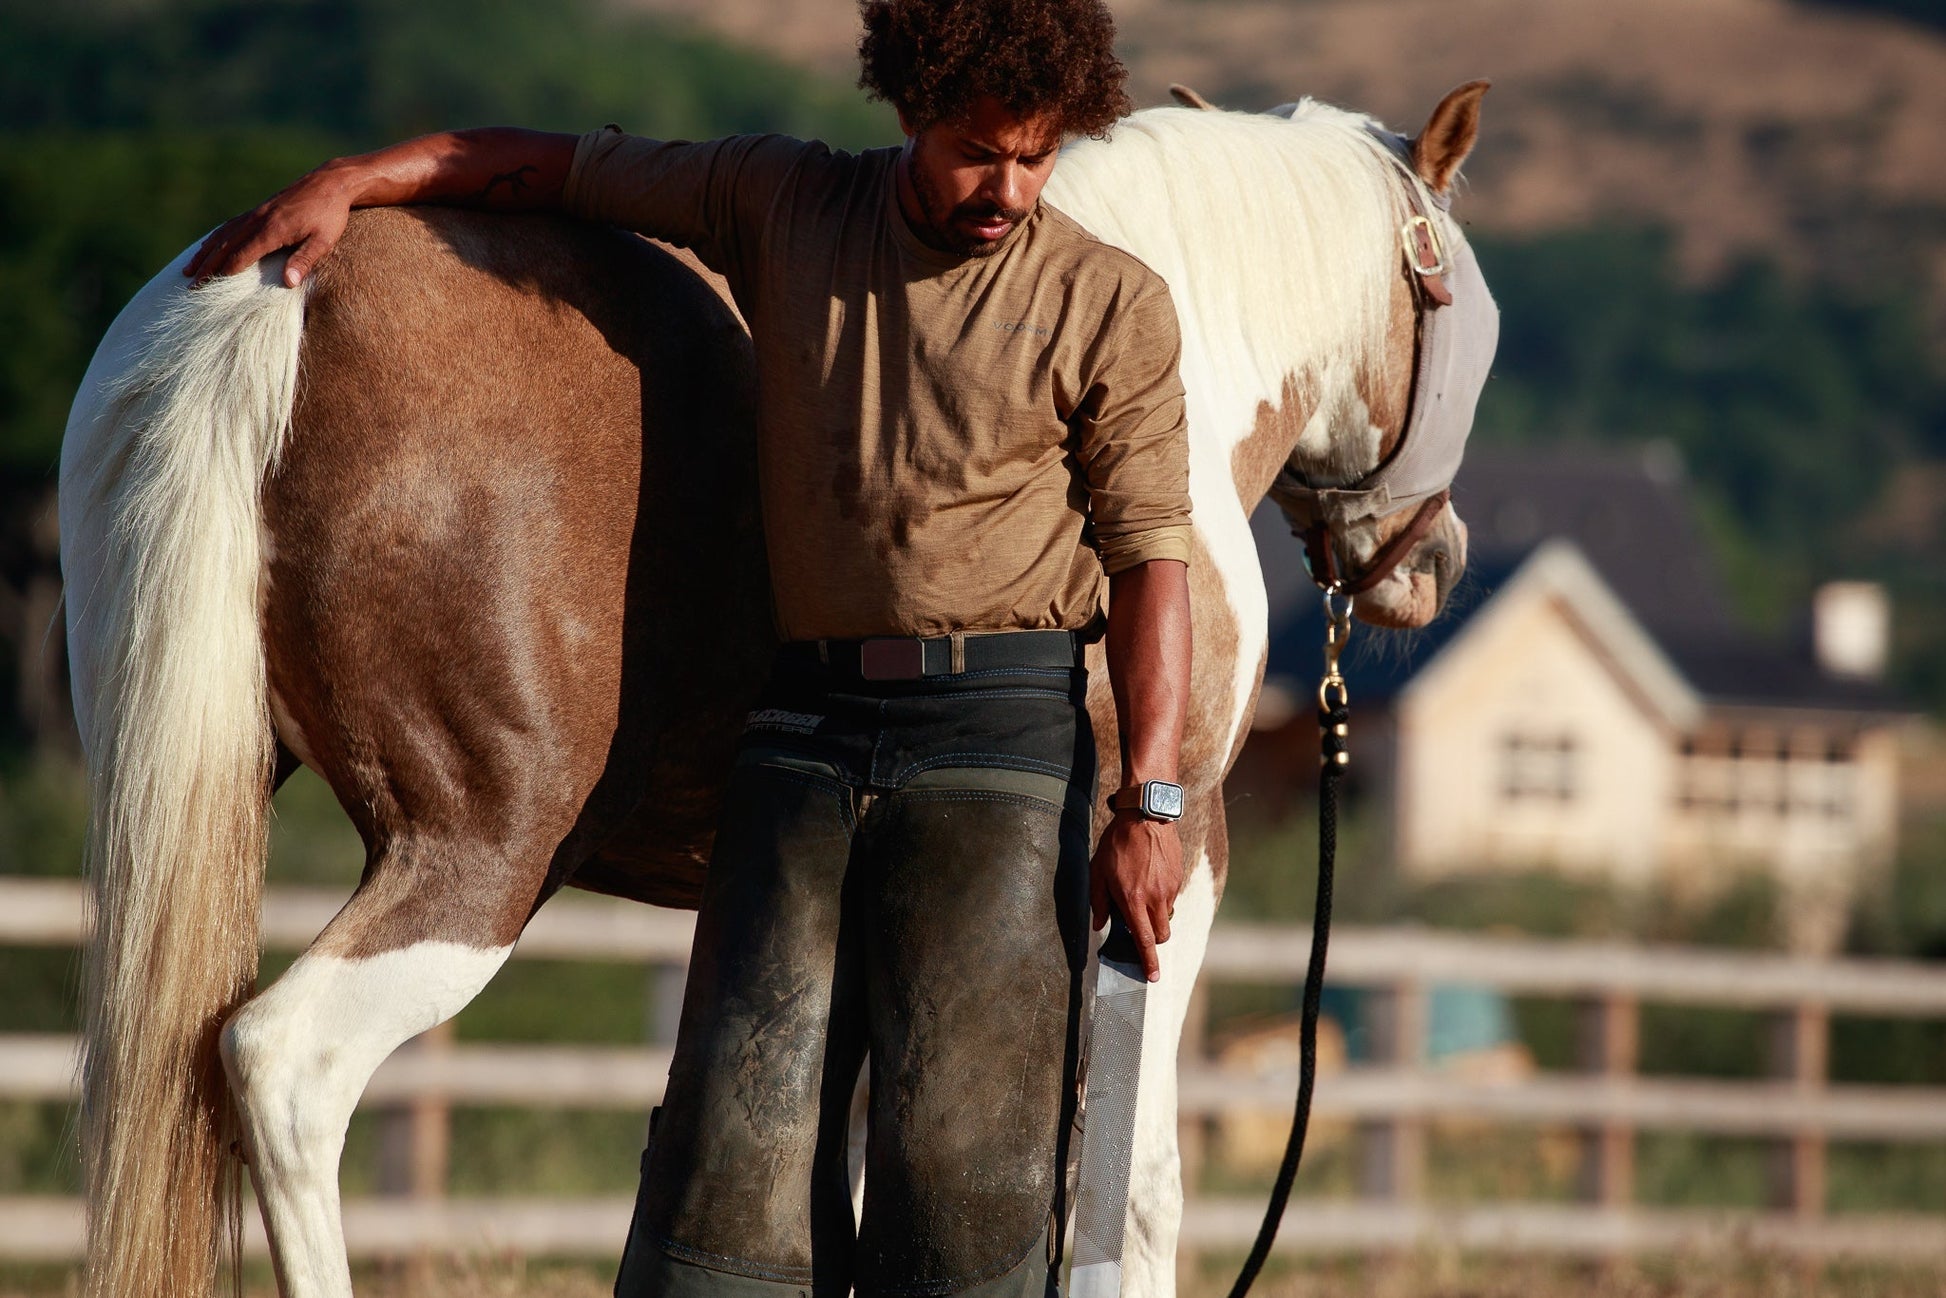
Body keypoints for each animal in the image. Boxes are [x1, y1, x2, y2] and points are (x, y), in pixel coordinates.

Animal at [56, 83, 1486, 1298]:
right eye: (1456, 300)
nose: (1429, 560)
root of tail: (279, 299)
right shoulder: (1158, 880)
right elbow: (1130, 1190)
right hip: (477, 851)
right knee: (281, 1066)